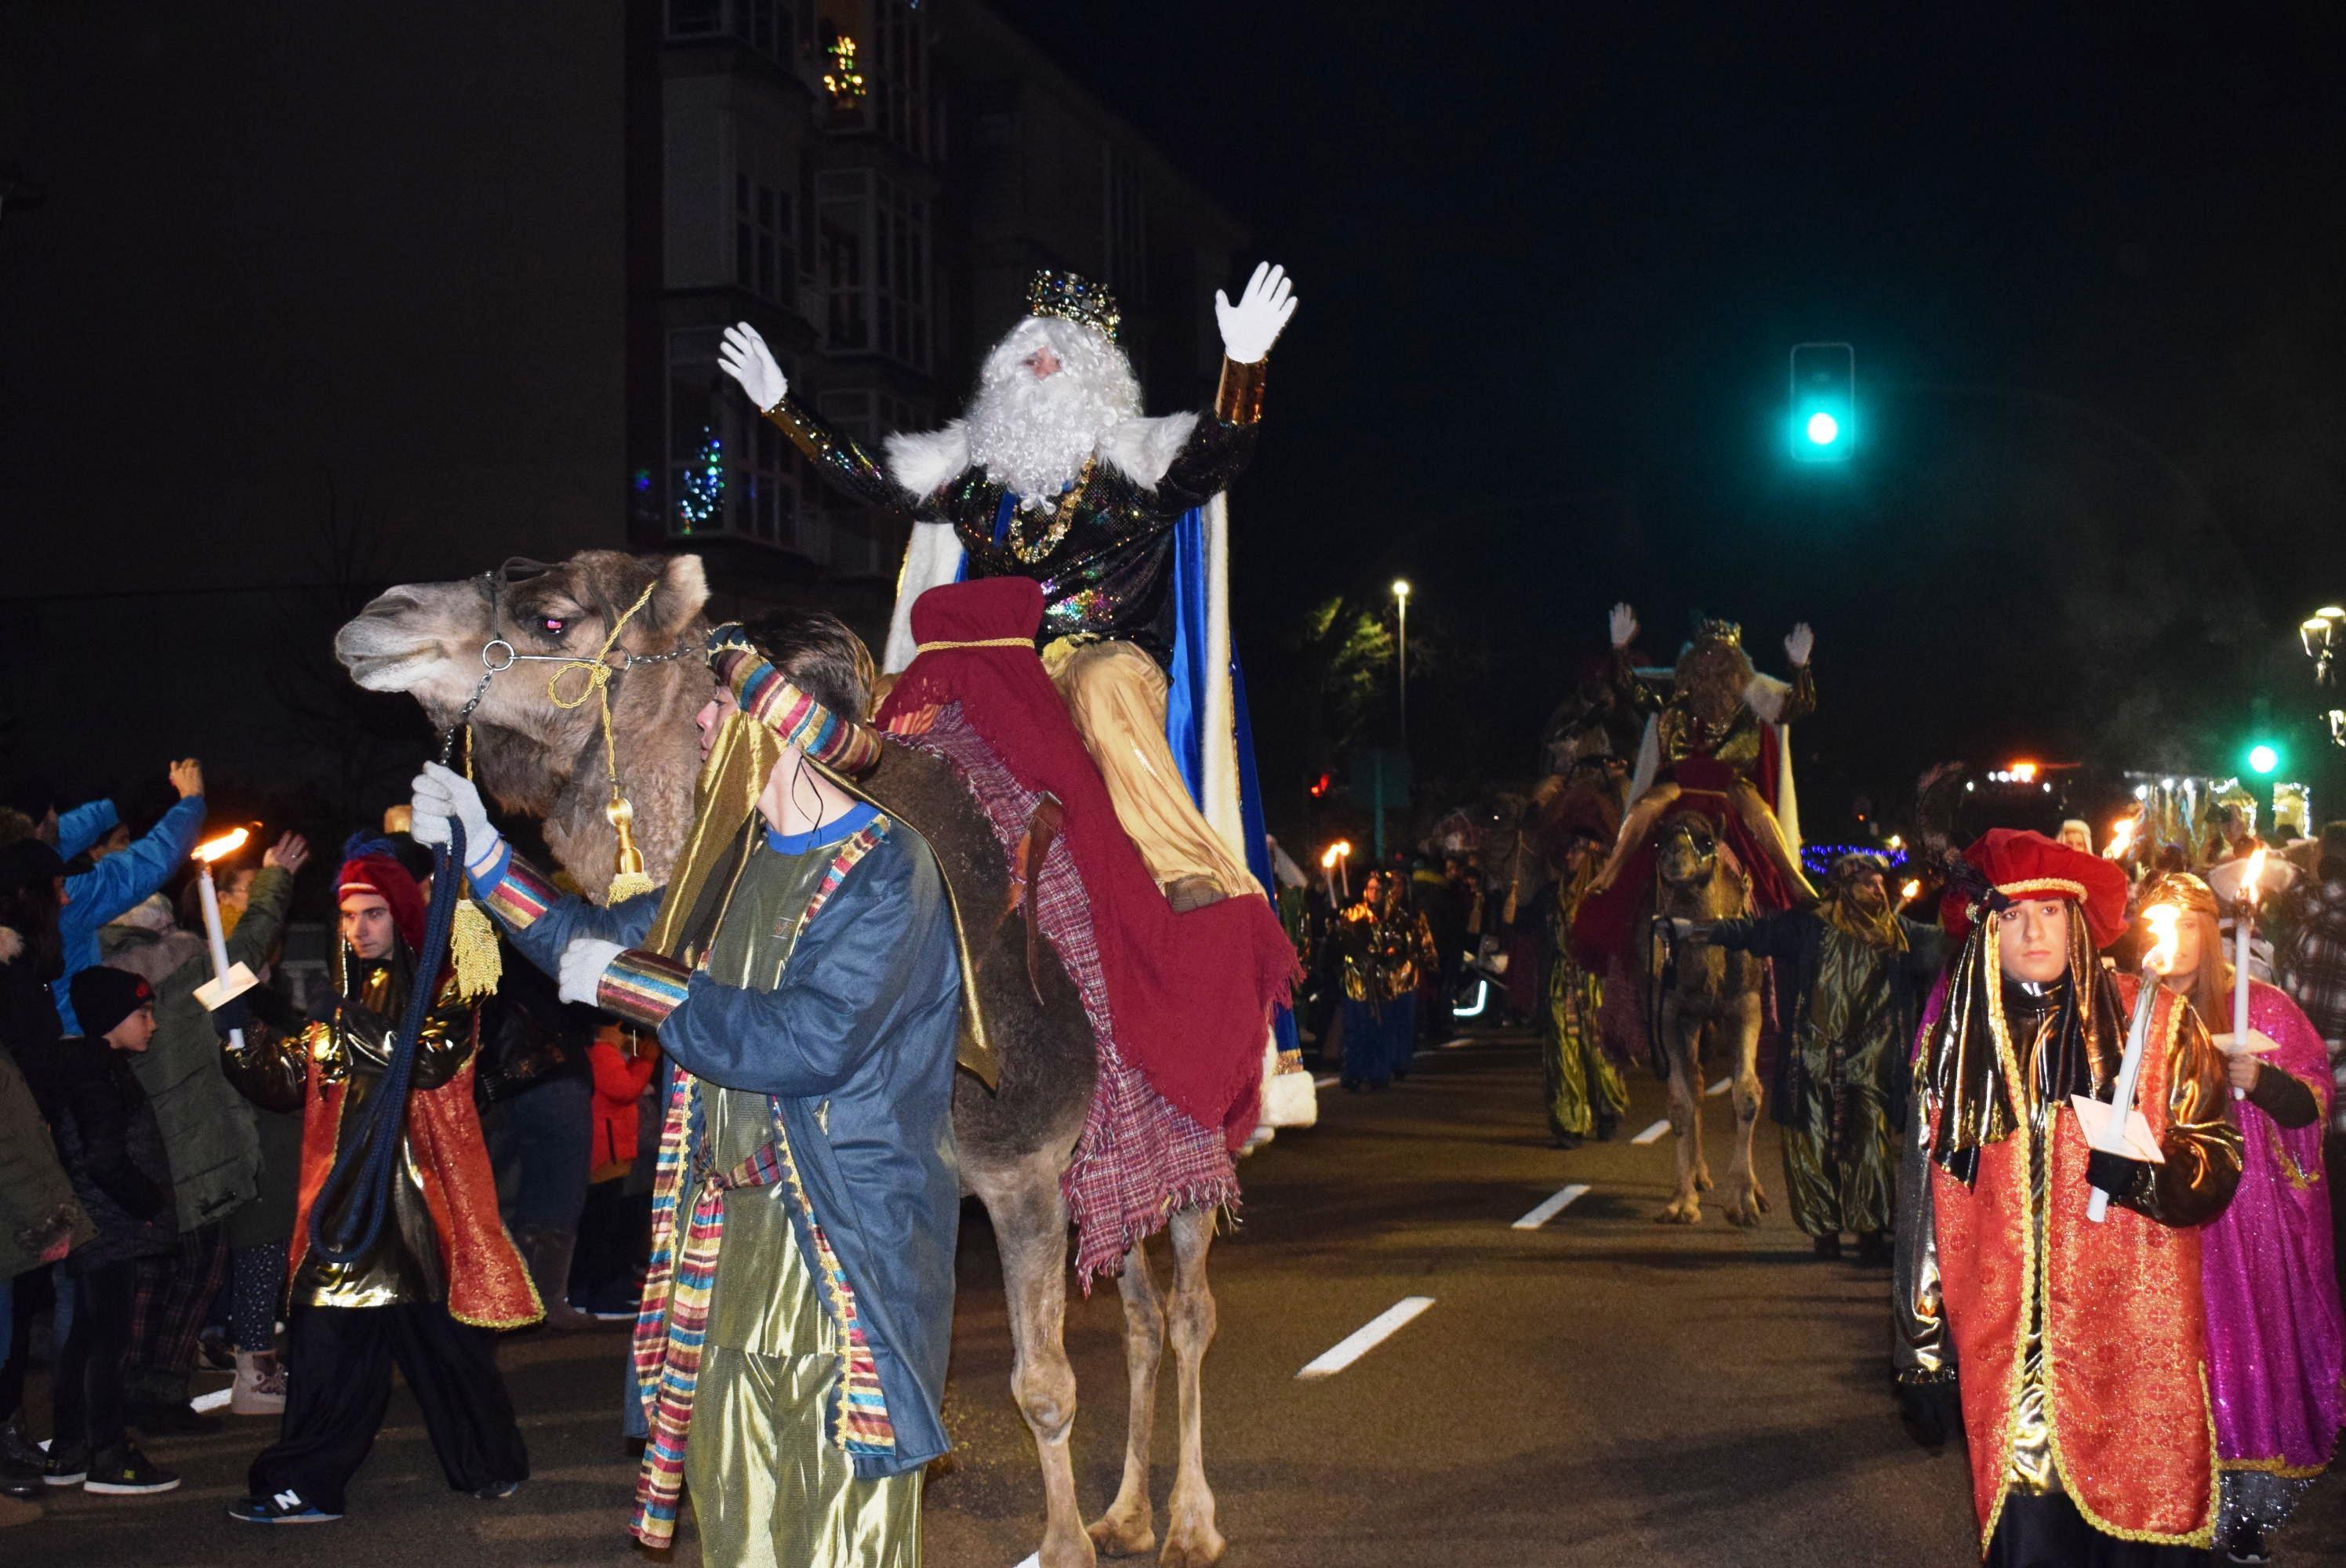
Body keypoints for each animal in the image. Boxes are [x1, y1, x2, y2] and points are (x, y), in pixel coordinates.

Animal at [342, 549, 1238, 1567]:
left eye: (552, 617)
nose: (377, 617)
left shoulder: (1020, 1168)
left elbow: (1043, 1384)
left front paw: (1063, 1544)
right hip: (1106, 1164)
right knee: (1139, 1310)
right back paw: (1128, 1512)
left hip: (1190, 1138)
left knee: (1188, 1311)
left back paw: (1190, 1523)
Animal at [1642, 816, 1763, 1229]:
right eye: (1659, 840)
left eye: (1706, 840)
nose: (1674, 855)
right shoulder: (1671, 1013)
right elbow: (1679, 1104)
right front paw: (1682, 1203)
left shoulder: (1746, 1004)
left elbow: (1747, 1094)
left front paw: (1744, 1200)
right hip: (1695, 1022)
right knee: (1695, 1084)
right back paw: (1698, 1176)